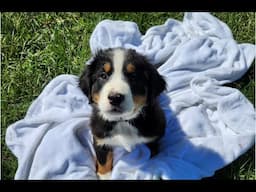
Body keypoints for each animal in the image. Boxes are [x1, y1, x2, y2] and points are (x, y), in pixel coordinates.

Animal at [79, 47, 166, 179]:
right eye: (103, 75)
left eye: (133, 77)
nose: (115, 98)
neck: (122, 122)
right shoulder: (100, 138)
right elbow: (103, 162)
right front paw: (104, 175)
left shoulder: (152, 139)